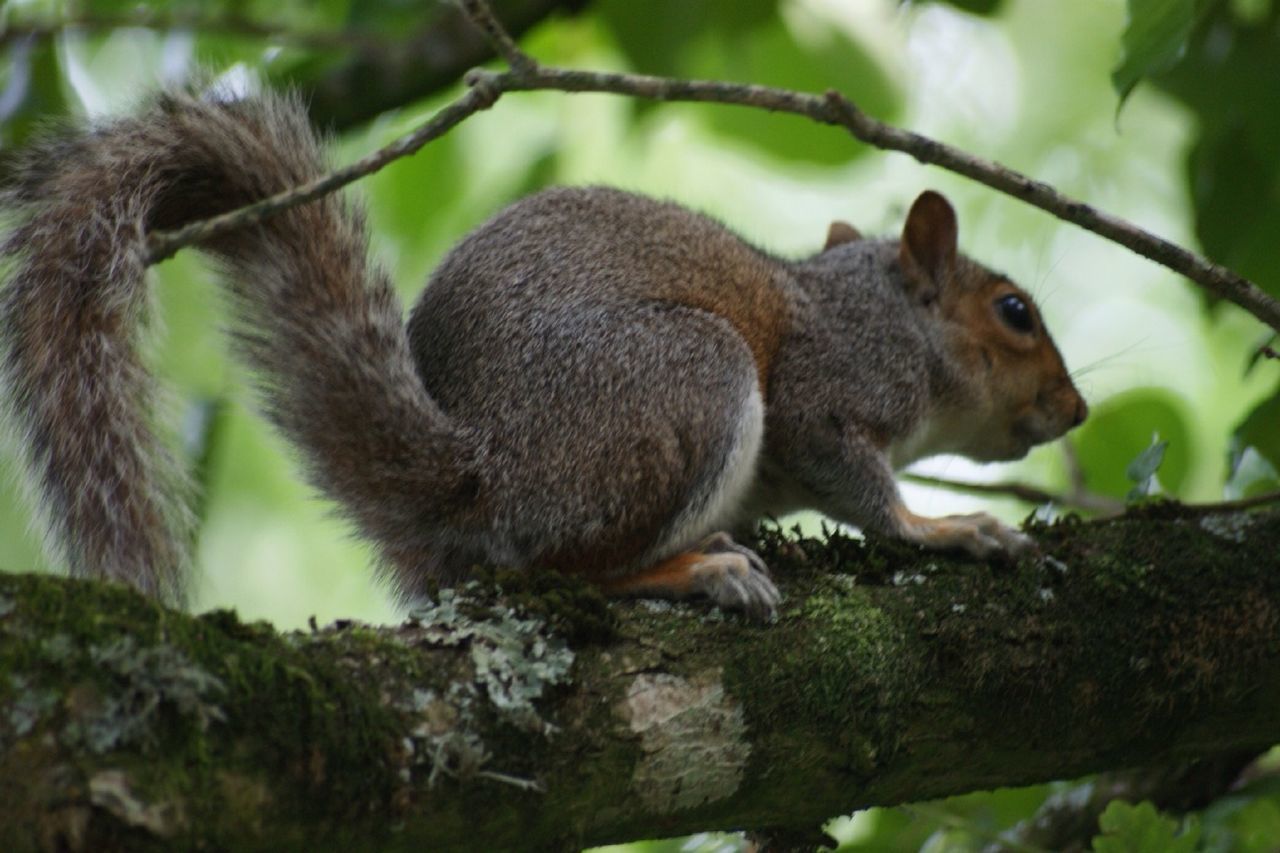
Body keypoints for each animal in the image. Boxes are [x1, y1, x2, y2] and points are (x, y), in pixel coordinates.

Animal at [0, 89, 1085, 617]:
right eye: (1014, 312)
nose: (1074, 411)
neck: (885, 312)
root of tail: (482, 469)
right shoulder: (830, 386)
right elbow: (854, 479)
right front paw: (942, 528)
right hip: (684, 380)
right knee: (565, 571)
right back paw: (693, 571)